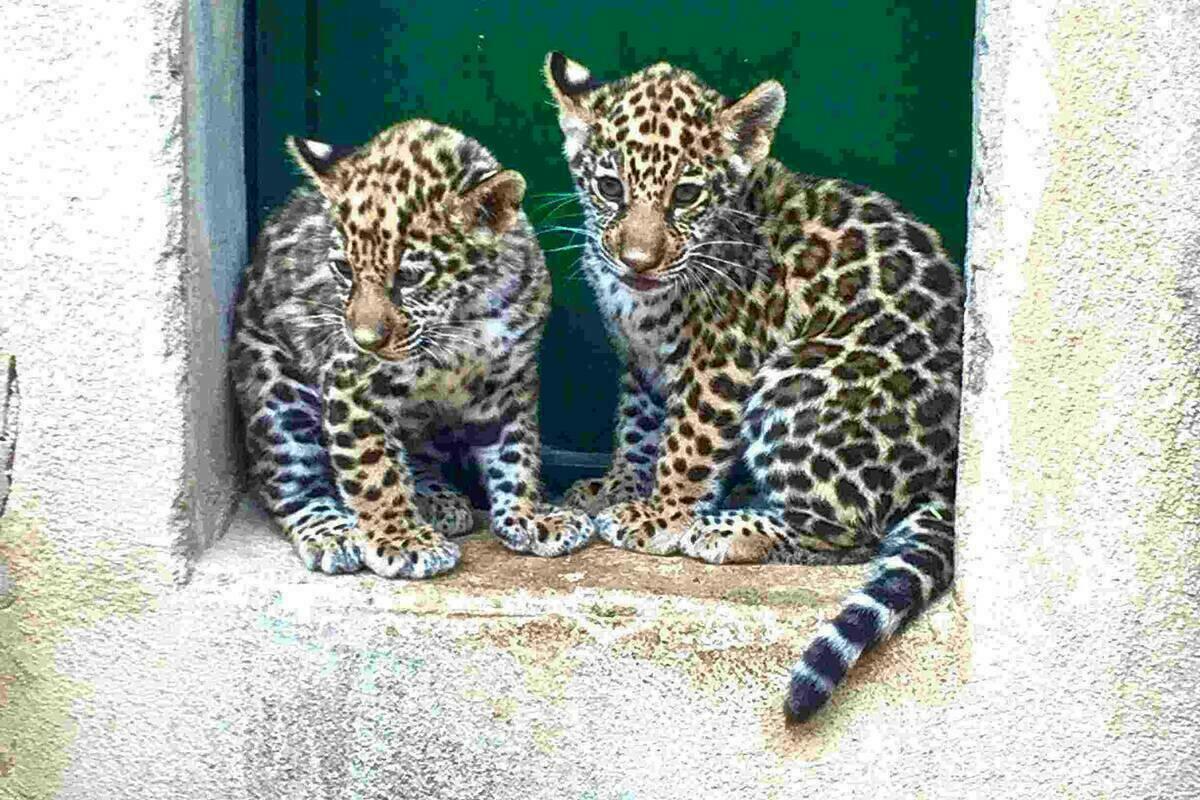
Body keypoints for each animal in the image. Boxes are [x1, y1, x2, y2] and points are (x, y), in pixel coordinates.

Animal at [231, 118, 594, 580]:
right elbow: (373, 470)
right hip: (275, 387)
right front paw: (402, 540)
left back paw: (435, 496)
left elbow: (516, 452)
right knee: (289, 481)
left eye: (408, 277)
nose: (365, 339)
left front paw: (529, 514)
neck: (461, 319)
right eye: (344, 269)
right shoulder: (354, 387)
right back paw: (335, 532)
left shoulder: (507, 384)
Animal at [544, 53, 962, 721]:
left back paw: (728, 529)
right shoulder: (639, 363)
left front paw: (663, 517)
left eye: (686, 195)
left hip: (799, 381)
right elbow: (637, 430)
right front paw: (617, 487)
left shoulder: (720, 360)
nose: (638, 261)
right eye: (610, 188)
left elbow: (685, 445)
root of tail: (943, 478)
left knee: (852, 532)